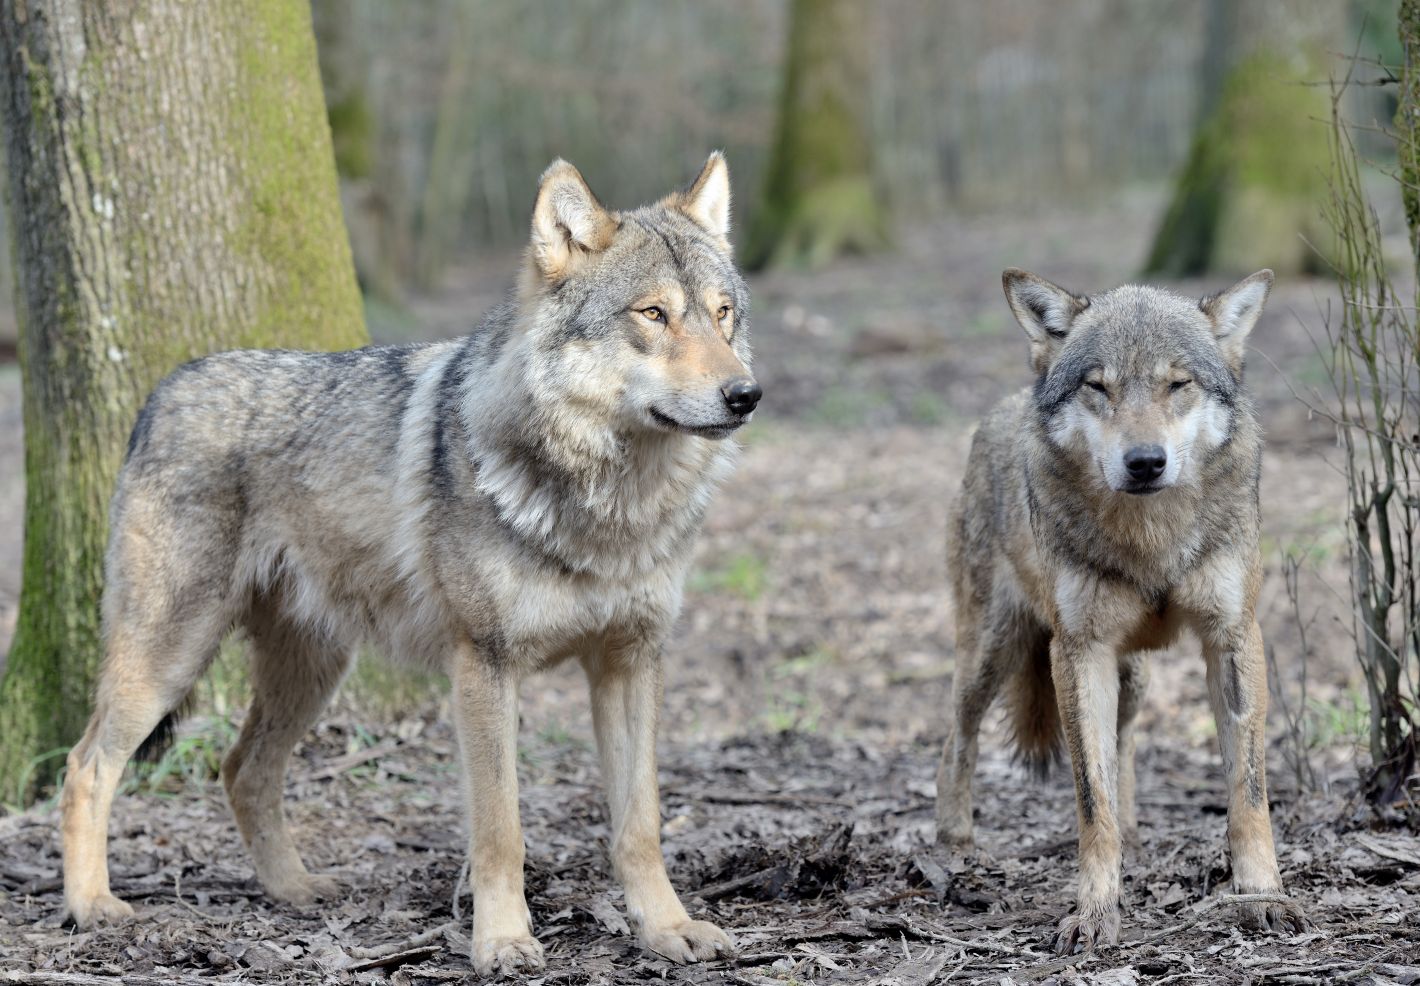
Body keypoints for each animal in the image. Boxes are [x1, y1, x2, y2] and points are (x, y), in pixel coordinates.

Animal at [58, 154, 755, 983]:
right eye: (653, 315)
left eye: (722, 315)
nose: (745, 394)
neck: (608, 508)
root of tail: (161, 392)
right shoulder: (483, 666)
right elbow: (500, 830)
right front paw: (503, 942)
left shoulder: (631, 661)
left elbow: (640, 824)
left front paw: (668, 928)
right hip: (170, 658)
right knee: (85, 766)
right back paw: (92, 907)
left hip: (311, 673)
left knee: (241, 771)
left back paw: (295, 890)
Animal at [937, 269, 1300, 960]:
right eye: (1097, 387)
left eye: (1177, 384)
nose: (1145, 461)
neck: (1150, 539)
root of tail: (1000, 409)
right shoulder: (1079, 651)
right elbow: (1090, 799)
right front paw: (1096, 912)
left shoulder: (1232, 637)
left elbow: (1248, 795)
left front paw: (1262, 896)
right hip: (993, 654)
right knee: (956, 736)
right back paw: (953, 845)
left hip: (1132, 675)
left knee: (1125, 739)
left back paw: (1135, 832)